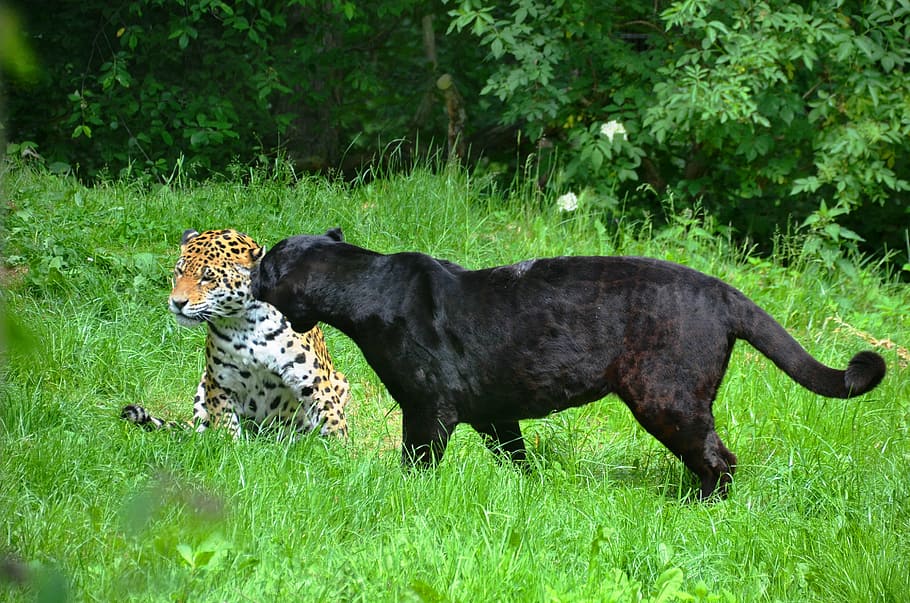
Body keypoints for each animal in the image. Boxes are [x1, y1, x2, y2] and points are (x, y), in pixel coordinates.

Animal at [121, 228, 350, 439]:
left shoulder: (311, 380)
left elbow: (333, 420)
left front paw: (340, 450)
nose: (177, 302)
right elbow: (226, 426)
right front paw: (230, 446)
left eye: (207, 277)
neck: (246, 324)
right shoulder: (221, 383)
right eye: (179, 271)